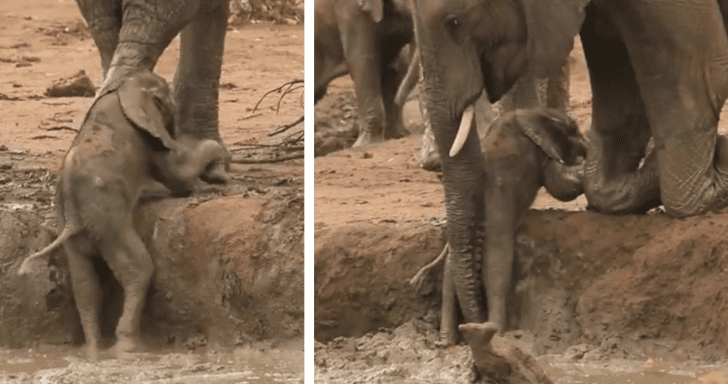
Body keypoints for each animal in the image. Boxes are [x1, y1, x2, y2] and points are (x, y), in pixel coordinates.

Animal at [17, 71, 228, 360]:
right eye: (167, 102)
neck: (123, 89)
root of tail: (72, 217)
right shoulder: (146, 139)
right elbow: (176, 173)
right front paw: (218, 170)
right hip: (109, 220)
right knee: (138, 269)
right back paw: (128, 348)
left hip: (74, 228)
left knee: (84, 283)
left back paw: (94, 351)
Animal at [438, 106, 584, 344]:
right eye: (573, 130)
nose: (586, 150)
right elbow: (561, 186)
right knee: (494, 255)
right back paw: (487, 332)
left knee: (453, 264)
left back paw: (448, 340)